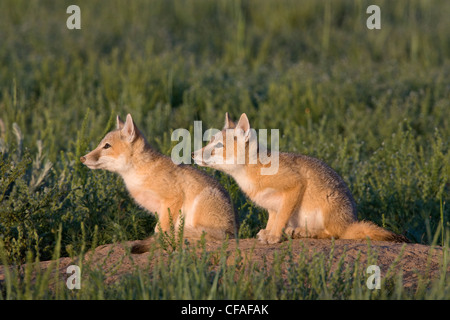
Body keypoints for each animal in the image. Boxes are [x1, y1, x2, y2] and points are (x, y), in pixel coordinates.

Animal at [80, 113, 237, 252]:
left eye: (106, 146)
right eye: (100, 144)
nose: (82, 158)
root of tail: (233, 231)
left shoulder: (173, 199)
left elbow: (160, 229)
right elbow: (158, 228)